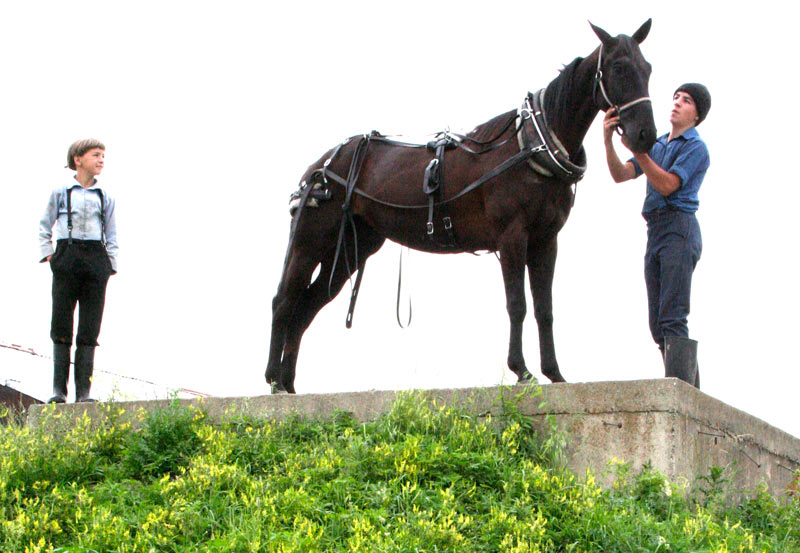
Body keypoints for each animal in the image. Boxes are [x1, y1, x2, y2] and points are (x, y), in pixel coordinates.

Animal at [266, 20, 656, 394]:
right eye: (619, 68)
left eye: (647, 67)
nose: (646, 136)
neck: (531, 146)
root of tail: (324, 164)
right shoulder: (512, 237)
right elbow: (517, 304)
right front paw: (522, 371)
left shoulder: (546, 241)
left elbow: (544, 309)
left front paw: (555, 373)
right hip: (311, 242)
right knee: (284, 302)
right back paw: (274, 381)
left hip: (353, 247)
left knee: (306, 308)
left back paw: (290, 384)